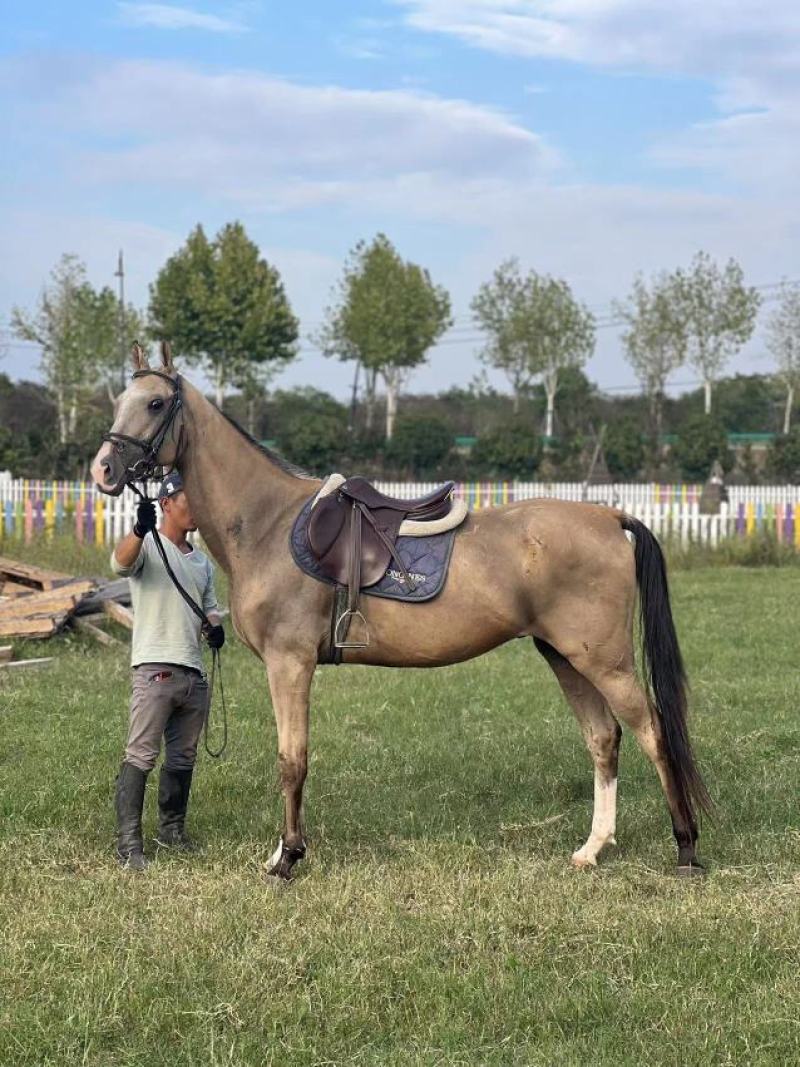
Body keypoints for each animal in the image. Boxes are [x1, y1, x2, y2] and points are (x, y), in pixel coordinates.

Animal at [91, 343, 711, 879]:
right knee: (604, 739)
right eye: (118, 401)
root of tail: (609, 517)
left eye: (154, 403)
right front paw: (279, 853)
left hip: (605, 661)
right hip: (564, 656)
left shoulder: (290, 664)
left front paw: (288, 859)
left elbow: (292, 760)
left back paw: (685, 847)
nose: (103, 470)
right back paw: (592, 849)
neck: (267, 522)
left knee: (654, 733)